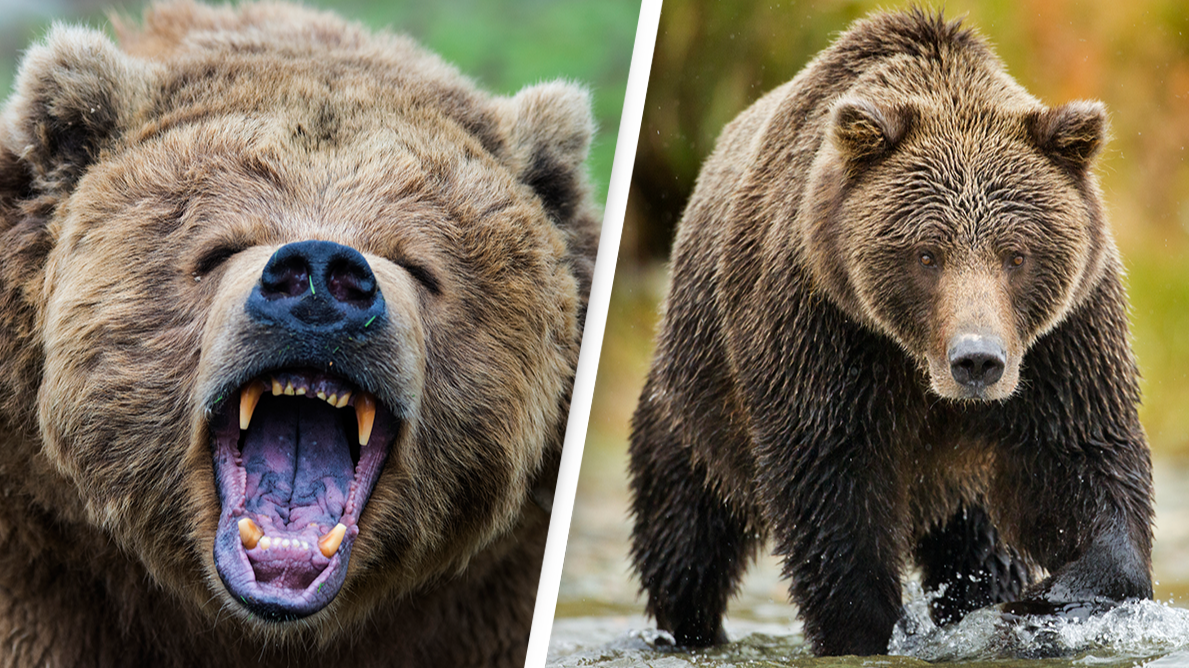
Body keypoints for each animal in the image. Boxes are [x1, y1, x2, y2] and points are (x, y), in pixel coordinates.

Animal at [627, 9, 1155, 656]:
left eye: (1016, 255)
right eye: (927, 255)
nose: (976, 360)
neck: (915, 364)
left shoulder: (1063, 339)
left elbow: (1080, 462)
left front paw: (1050, 598)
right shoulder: (822, 326)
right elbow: (832, 488)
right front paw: (869, 628)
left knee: (978, 549)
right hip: (696, 402)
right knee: (684, 536)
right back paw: (688, 627)